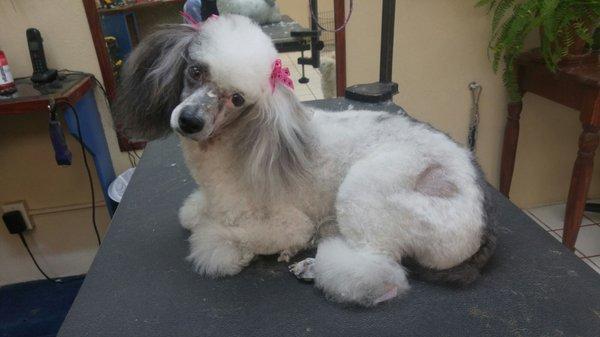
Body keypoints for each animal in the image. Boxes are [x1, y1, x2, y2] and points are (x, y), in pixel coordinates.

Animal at [113, 15, 496, 304]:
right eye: (195, 71)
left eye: (238, 99)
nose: (190, 120)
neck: (231, 146)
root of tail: (479, 217)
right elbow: (196, 215)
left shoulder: (287, 221)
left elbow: (234, 235)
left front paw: (229, 247)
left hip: (366, 188)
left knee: (381, 271)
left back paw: (316, 267)